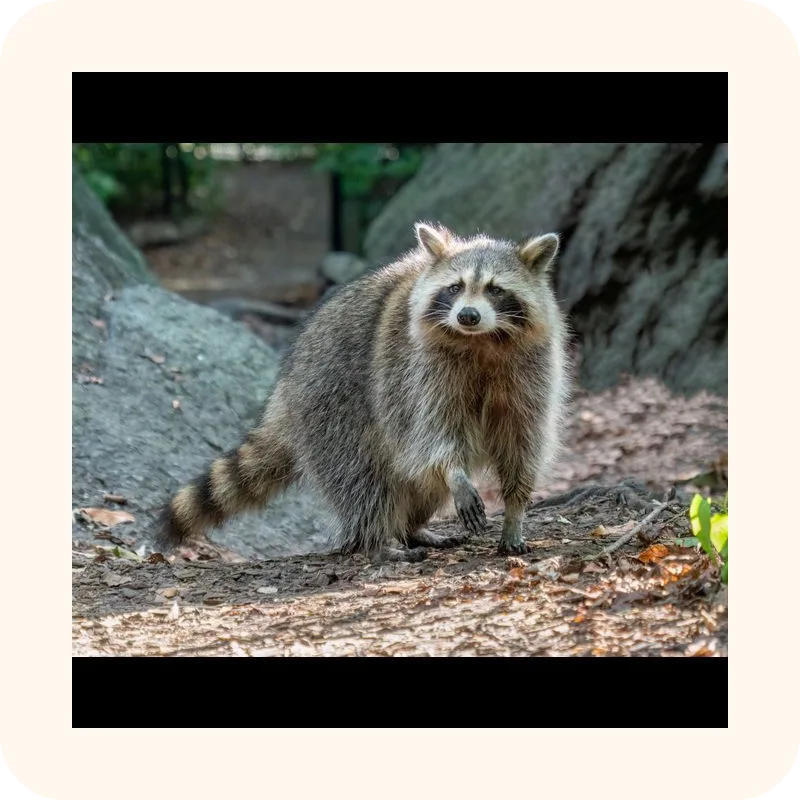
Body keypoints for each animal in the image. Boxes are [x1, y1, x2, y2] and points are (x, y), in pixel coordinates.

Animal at [157, 221, 569, 561]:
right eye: (455, 288)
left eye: (495, 290)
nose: (467, 315)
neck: (482, 340)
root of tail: (285, 390)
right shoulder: (417, 371)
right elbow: (433, 432)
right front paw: (455, 473)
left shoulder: (531, 371)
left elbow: (523, 440)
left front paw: (515, 510)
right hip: (332, 402)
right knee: (363, 476)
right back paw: (375, 540)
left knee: (417, 483)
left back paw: (412, 528)